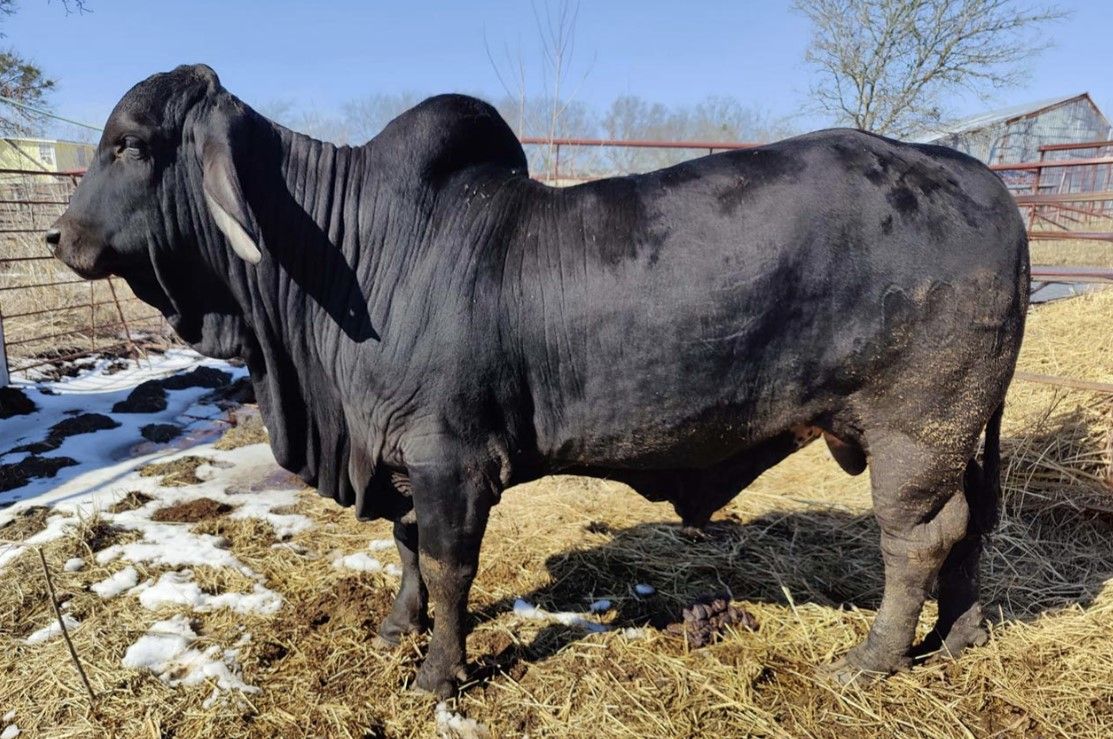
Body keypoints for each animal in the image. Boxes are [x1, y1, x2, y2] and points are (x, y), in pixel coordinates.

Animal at [48, 64, 1028, 698]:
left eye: (130, 144)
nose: (58, 237)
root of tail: (981, 178)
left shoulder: (449, 458)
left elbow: (448, 565)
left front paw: (437, 673)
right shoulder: (400, 455)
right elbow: (404, 548)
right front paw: (395, 628)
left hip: (917, 430)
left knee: (919, 538)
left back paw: (871, 658)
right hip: (963, 435)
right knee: (972, 526)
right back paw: (957, 635)